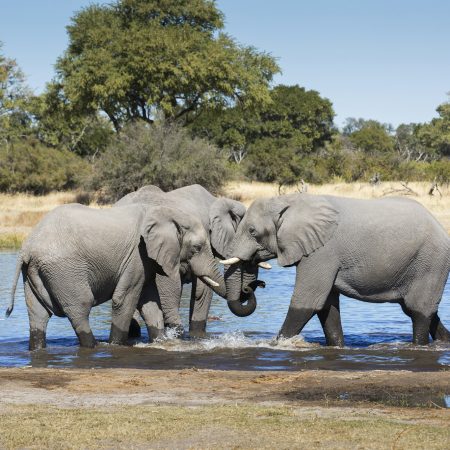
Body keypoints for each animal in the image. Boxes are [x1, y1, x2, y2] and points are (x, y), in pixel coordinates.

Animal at [6, 202, 224, 350]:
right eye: (197, 248)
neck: (167, 213)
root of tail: (27, 247)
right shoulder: (137, 254)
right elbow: (124, 298)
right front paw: (116, 345)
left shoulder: (145, 260)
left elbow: (149, 302)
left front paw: (160, 341)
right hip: (64, 271)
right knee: (80, 308)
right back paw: (94, 346)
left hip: (34, 272)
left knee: (38, 314)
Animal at [222, 192, 450, 344]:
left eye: (252, 231)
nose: (256, 285)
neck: (289, 201)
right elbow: (326, 306)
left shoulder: (322, 251)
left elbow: (308, 302)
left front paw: (276, 345)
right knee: (421, 311)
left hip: (431, 262)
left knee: (419, 312)